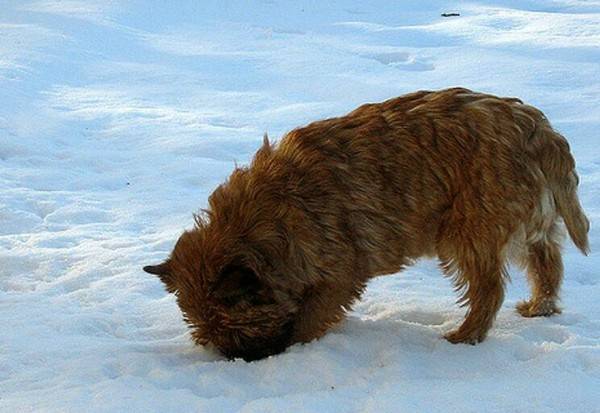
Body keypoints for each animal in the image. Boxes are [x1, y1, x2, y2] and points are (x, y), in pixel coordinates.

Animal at [143, 87, 588, 360]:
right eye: (207, 332)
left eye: (238, 325)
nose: (240, 359)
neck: (271, 217)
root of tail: (538, 130)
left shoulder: (340, 273)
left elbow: (310, 316)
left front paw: (298, 347)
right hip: (524, 221)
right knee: (547, 261)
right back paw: (540, 307)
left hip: (471, 228)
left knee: (489, 289)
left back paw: (466, 335)